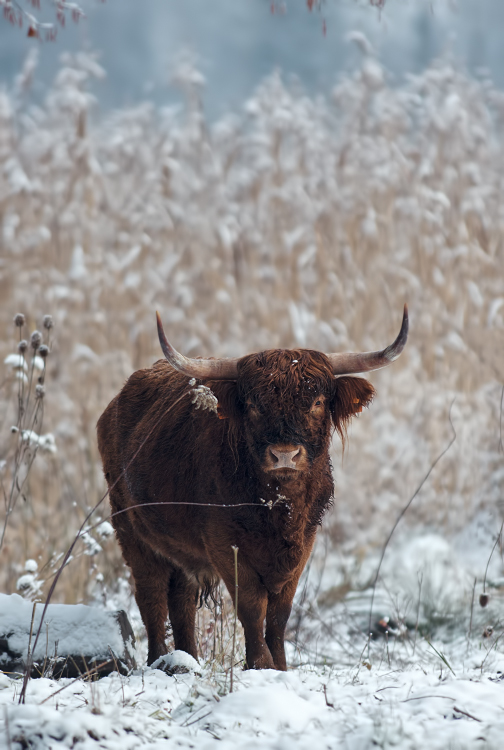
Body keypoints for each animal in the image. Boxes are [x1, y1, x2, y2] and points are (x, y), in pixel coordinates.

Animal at [98, 308, 410, 672]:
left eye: (318, 402)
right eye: (254, 405)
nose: (285, 454)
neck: (277, 508)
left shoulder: (305, 542)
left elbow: (279, 613)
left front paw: (281, 667)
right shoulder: (222, 542)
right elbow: (251, 605)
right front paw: (260, 664)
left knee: (181, 599)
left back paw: (187, 660)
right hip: (131, 531)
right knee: (151, 596)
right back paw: (160, 659)